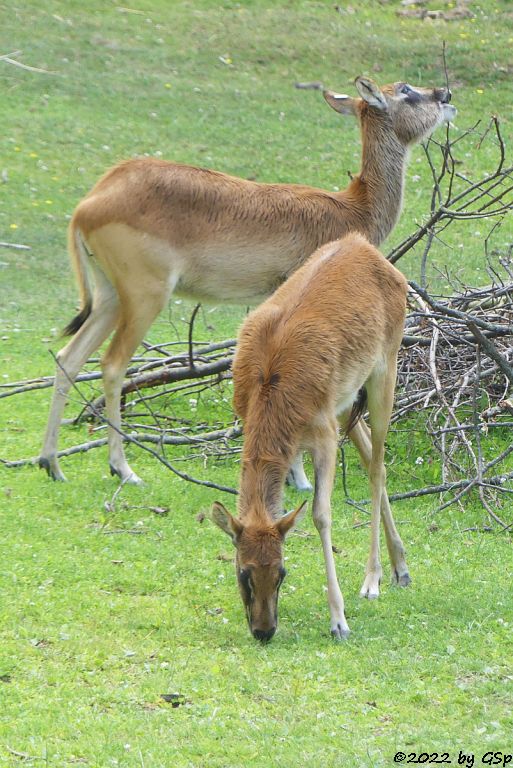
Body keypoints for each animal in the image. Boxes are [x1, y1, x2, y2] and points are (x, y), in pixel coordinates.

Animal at [41, 75, 456, 484]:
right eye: (406, 90)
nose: (445, 94)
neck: (352, 209)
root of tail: (90, 204)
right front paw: (300, 478)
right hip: (145, 298)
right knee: (112, 365)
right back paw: (123, 469)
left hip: (110, 298)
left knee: (68, 358)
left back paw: (51, 463)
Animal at [211, 234, 408, 640]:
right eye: (243, 572)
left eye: (282, 572)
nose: (264, 630)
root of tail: (364, 245)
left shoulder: (324, 434)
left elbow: (320, 514)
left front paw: (339, 621)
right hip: (345, 401)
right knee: (371, 455)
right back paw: (401, 568)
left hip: (386, 365)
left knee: (377, 468)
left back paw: (373, 579)